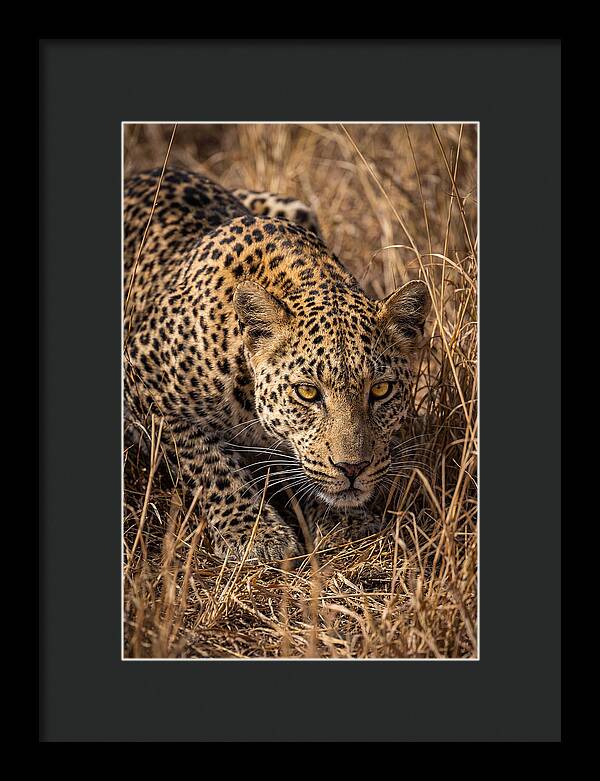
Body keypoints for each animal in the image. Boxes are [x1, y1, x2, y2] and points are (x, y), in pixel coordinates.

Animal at [124, 167, 430, 562]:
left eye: (380, 390)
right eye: (307, 393)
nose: (352, 468)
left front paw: (345, 522)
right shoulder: (141, 380)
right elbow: (208, 462)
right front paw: (254, 533)